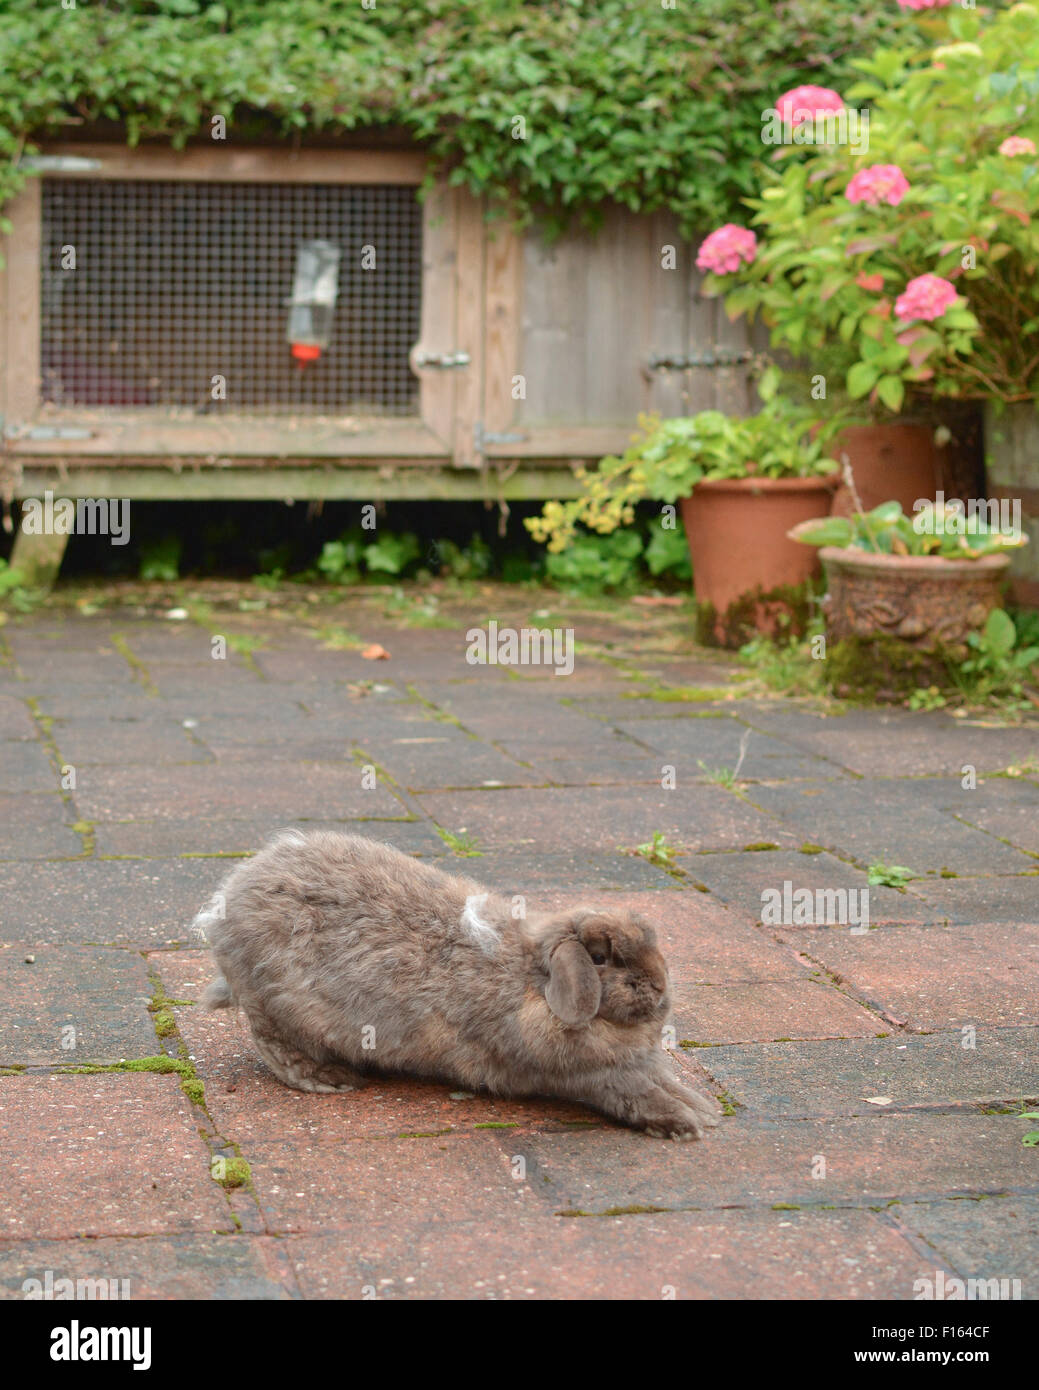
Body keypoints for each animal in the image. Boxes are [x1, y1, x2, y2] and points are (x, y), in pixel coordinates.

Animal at [196, 829, 720, 1140]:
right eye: (599, 959)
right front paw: (686, 1123)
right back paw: (330, 1079)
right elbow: (634, 1093)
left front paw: (706, 1109)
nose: (660, 987)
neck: (531, 980)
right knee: (273, 1044)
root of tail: (225, 909)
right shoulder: (593, 1074)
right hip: (278, 1004)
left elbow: (664, 1079)